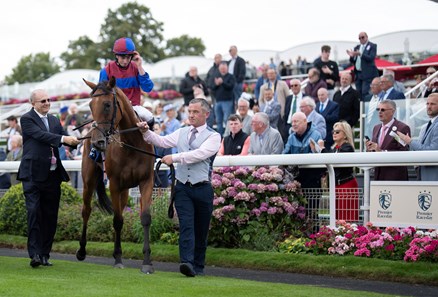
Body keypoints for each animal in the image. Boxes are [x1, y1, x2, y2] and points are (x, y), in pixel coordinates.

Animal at [75, 77, 156, 272]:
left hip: (125, 190)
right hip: (88, 181)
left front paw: (147, 261)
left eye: (106, 105)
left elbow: (145, 218)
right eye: (90, 105)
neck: (132, 144)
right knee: (86, 210)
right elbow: (117, 220)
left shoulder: (146, 181)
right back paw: (81, 250)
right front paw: (118, 258)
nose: (97, 142)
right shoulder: (114, 183)